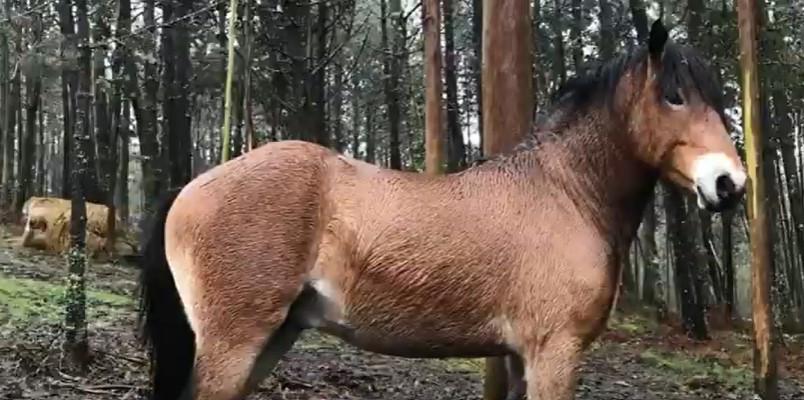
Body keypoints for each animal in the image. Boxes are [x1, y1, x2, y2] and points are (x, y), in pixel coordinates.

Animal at [137, 21, 748, 400]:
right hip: (234, 340)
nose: (730, 184)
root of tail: (190, 188)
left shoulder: (522, 357)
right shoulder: (553, 352)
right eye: (672, 95)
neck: (565, 192)